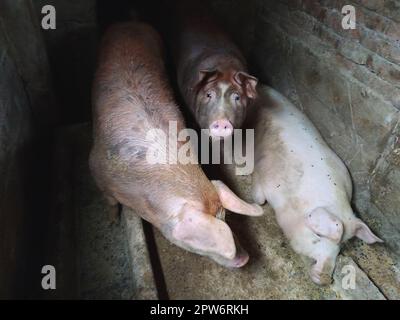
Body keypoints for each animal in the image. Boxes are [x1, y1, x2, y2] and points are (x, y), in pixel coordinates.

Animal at [88, 21, 262, 268]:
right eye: (197, 244)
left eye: (225, 217)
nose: (245, 258)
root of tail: (129, 22)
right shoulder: (95, 168)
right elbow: (110, 202)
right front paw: (113, 222)